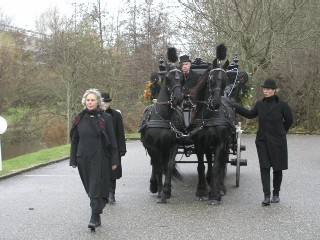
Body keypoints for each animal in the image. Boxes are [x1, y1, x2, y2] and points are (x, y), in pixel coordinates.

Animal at [139, 47, 184, 203]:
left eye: (182, 78)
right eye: (168, 78)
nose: (178, 98)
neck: (164, 117)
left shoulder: (174, 144)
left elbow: (169, 166)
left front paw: (166, 191)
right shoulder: (154, 146)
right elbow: (157, 167)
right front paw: (160, 192)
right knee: (155, 164)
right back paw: (154, 186)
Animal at [189, 44, 234, 205]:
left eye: (226, 79)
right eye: (211, 79)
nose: (215, 103)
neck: (209, 117)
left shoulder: (220, 143)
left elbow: (216, 167)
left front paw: (215, 195)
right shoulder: (199, 143)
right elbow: (201, 166)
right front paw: (201, 192)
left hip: (225, 143)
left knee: (220, 163)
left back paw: (220, 187)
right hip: (208, 144)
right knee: (209, 160)